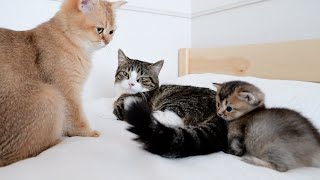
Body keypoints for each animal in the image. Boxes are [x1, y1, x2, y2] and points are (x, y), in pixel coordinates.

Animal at [0, 0, 127, 167]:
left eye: (111, 32)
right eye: (100, 29)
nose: (107, 41)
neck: (66, 37)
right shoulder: (67, 90)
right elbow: (77, 116)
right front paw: (88, 133)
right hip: (50, 96)